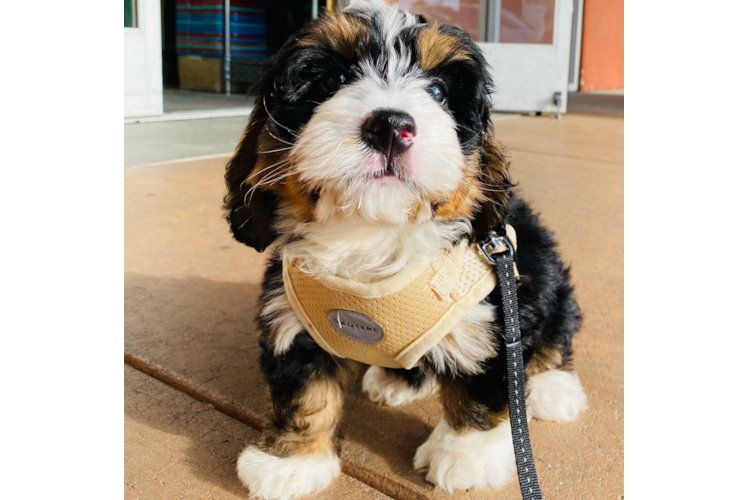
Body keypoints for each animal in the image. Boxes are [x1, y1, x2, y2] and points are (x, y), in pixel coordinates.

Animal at [225, 1, 588, 498]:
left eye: (438, 92)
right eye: (333, 80)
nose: (391, 125)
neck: (375, 232)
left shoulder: (494, 310)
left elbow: (483, 382)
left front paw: (466, 456)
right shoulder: (291, 315)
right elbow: (303, 387)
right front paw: (291, 461)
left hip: (537, 264)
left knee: (555, 327)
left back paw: (553, 387)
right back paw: (400, 378)